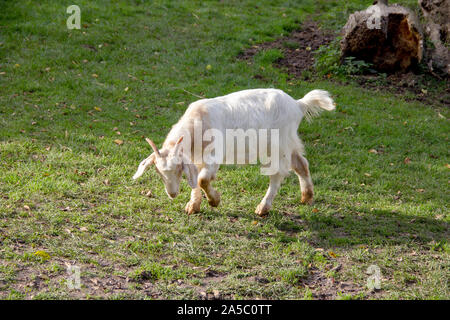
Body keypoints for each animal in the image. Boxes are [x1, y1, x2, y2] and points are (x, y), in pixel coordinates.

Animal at [133, 89, 334, 216]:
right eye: (158, 171)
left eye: (177, 169)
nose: (172, 194)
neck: (198, 122)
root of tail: (297, 104)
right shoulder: (195, 159)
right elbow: (195, 180)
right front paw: (193, 205)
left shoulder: (213, 156)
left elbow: (202, 180)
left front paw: (214, 200)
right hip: (288, 143)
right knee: (301, 164)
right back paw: (307, 197)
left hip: (278, 145)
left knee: (277, 174)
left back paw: (263, 207)